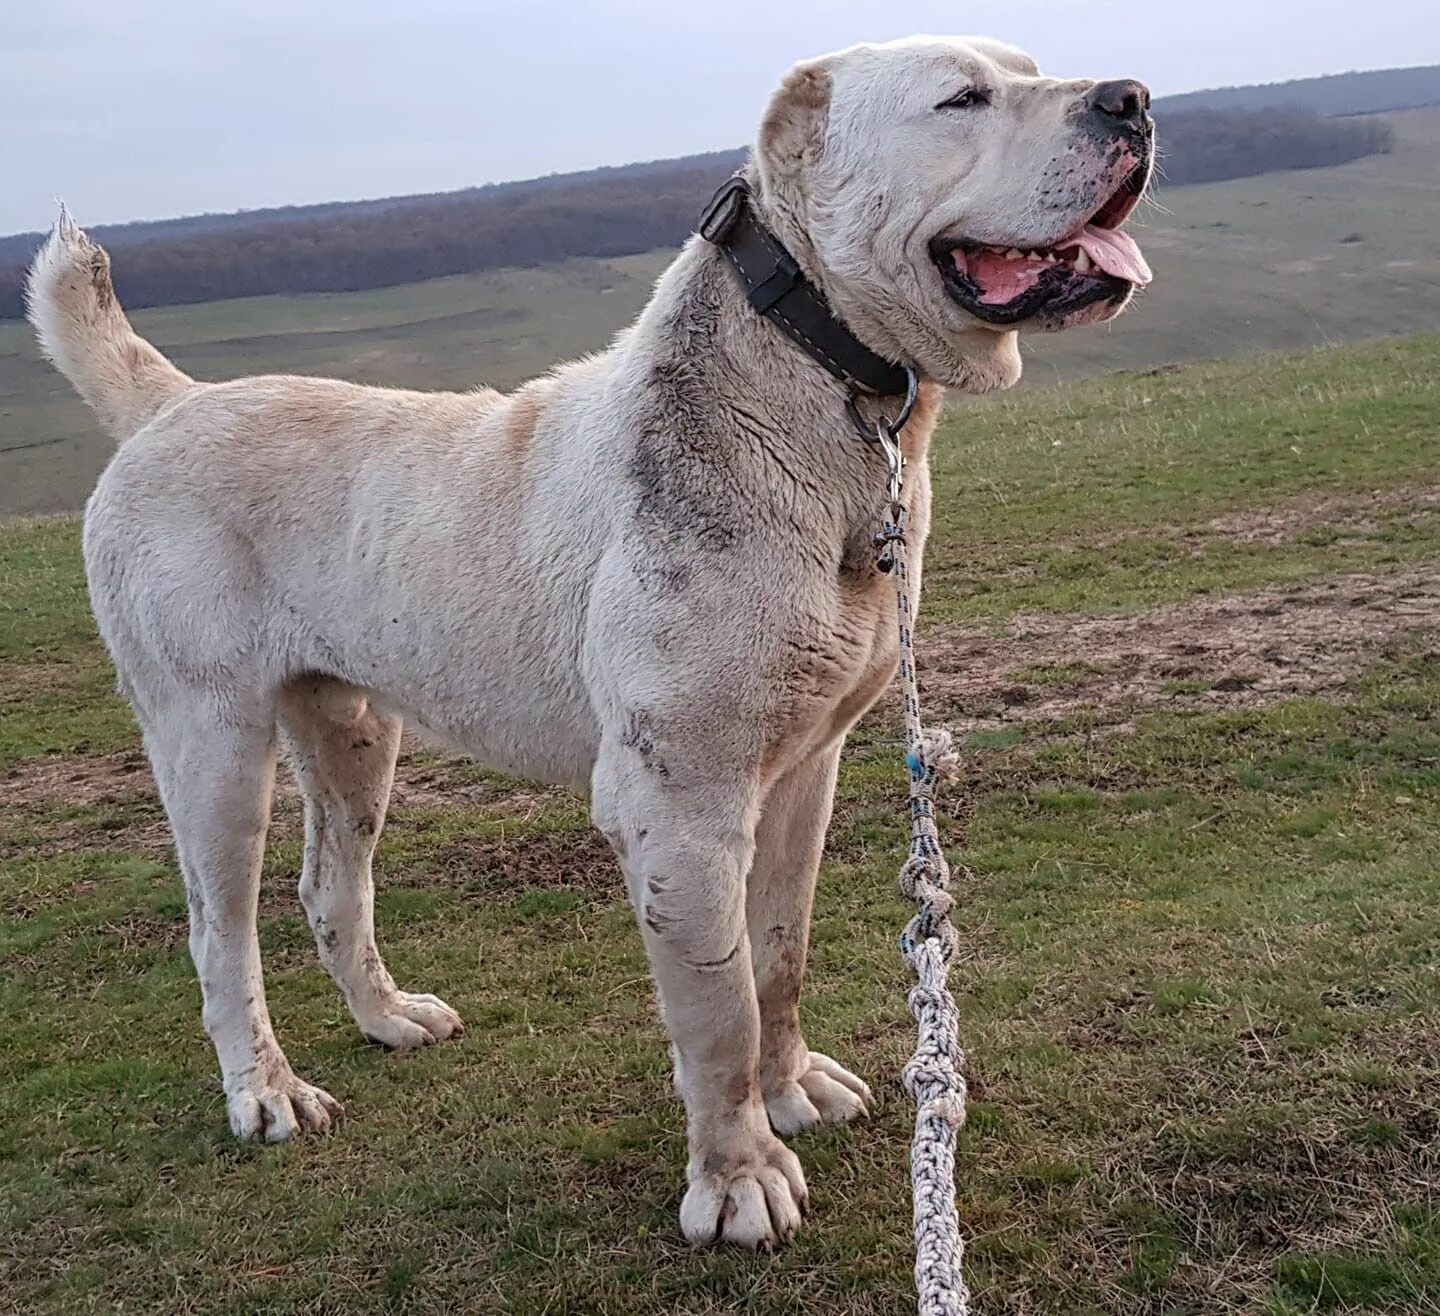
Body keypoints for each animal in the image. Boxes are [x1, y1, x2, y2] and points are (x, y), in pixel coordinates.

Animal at [28, 30, 1152, 1244]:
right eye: (963, 98)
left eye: (1027, 69)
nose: (1133, 100)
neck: (806, 383)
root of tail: (167, 404)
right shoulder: (681, 805)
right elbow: (720, 1007)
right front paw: (738, 1177)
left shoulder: (806, 769)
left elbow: (781, 954)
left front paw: (791, 1088)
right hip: (212, 747)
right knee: (219, 930)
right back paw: (268, 1091)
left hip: (353, 730)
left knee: (332, 888)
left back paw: (389, 1017)